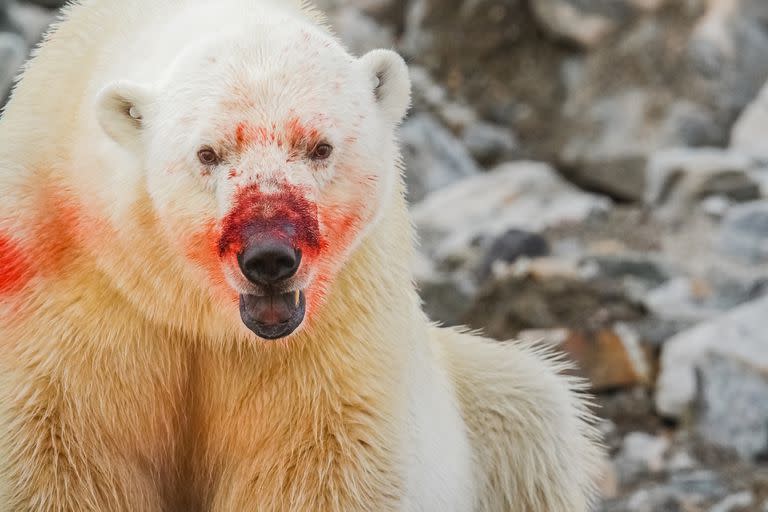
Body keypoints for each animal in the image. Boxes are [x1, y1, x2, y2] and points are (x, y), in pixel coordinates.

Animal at [0, 1, 604, 512]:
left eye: (320, 147)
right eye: (207, 153)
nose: (269, 257)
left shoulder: (337, 330)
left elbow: (319, 464)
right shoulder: (62, 297)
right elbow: (58, 457)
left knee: (536, 417)